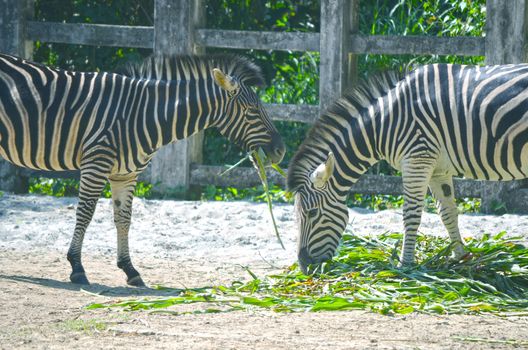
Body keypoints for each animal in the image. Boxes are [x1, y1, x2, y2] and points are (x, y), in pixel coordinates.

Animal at [0, 53, 284, 286]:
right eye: (251, 111)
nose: (280, 152)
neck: (141, 114)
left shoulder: (125, 174)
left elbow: (124, 219)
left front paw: (130, 270)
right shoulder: (96, 163)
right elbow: (85, 214)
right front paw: (77, 268)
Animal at [286, 63, 528, 274]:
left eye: (312, 213)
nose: (304, 267)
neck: (384, 124)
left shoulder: (417, 159)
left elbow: (411, 213)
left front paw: (405, 265)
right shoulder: (438, 169)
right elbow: (447, 212)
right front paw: (461, 258)